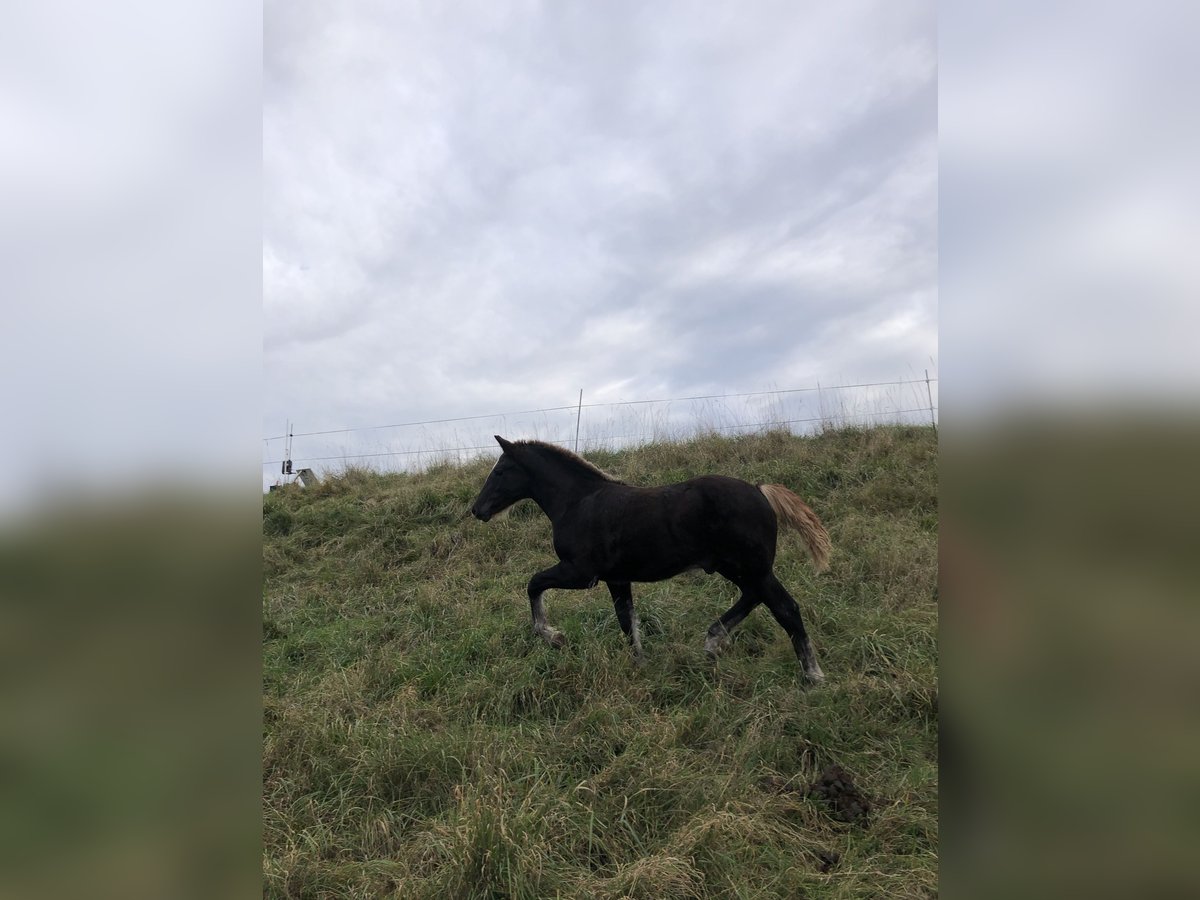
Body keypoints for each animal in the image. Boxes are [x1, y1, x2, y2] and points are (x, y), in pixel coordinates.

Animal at [469, 435, 832, 681]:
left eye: (500, 471)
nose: (477, 509)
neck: (578, 502)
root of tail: (759, 490)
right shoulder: (617, 578)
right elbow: (627, 620)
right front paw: (641, 664)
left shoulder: (580, 573)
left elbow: (534, 584)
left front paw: (553, 637)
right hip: (739, 568)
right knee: (754, 598)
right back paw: (713, 641)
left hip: (751, 568)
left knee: (785, 608)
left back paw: (812, 675)